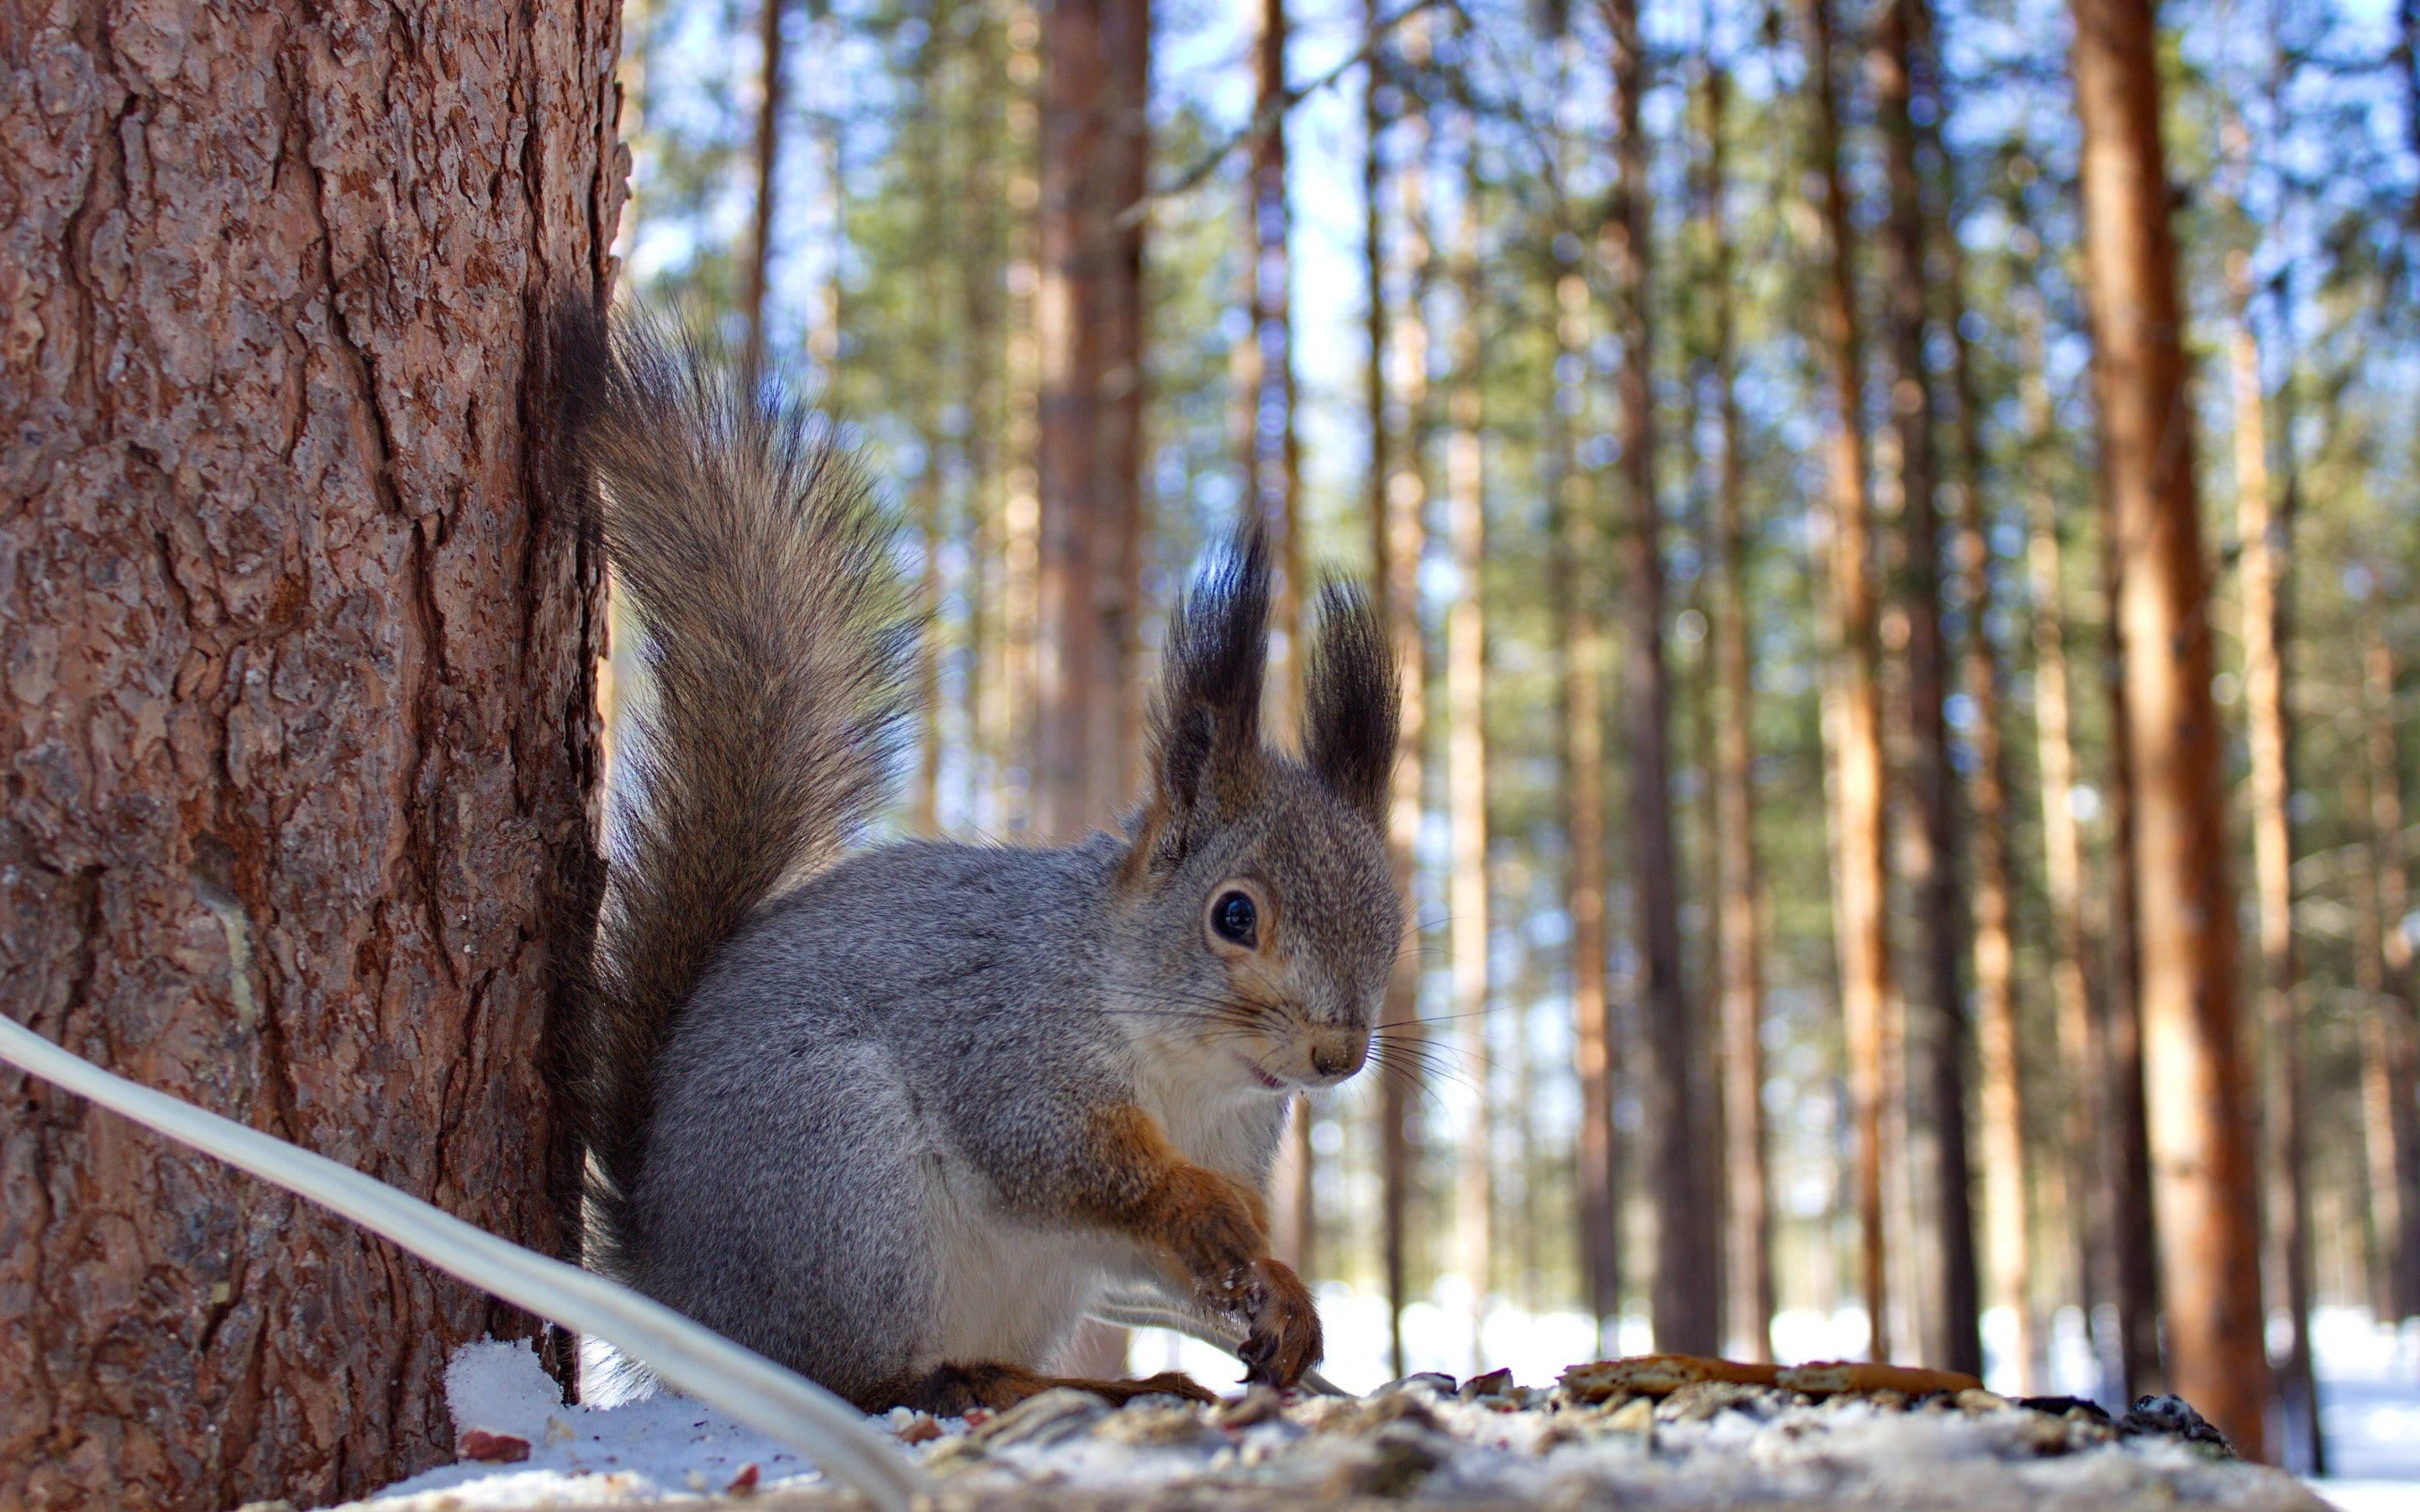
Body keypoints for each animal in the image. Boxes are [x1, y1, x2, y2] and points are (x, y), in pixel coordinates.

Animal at [563, 311, 1403, 1417]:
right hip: (843, 1177)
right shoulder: (1003, 1043)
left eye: (1394, 925)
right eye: (1233, 915)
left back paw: (1097, 1385)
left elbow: (1154, 1251)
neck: (1186, 1071)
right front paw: (1199, 1208)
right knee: (846, 1377)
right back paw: (974, 1381)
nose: (1337, 1056)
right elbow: (1063, 1161)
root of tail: (677, 1292)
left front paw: (1280, 1293)